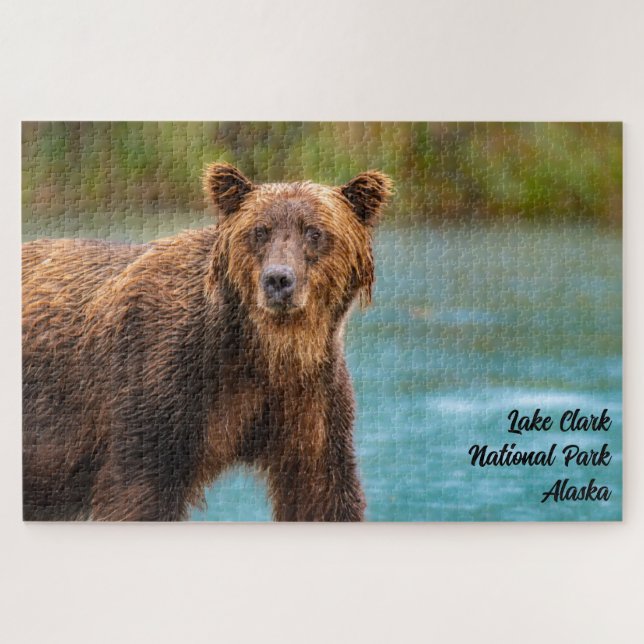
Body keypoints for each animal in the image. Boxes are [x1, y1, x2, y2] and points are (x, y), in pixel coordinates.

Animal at [22, 162, 393, 521]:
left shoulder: (309, 398)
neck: (266, 348)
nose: (278, 280)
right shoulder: (158, 381)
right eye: (260, 231)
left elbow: (322, 491)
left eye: (314, 232)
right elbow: (137, 489)